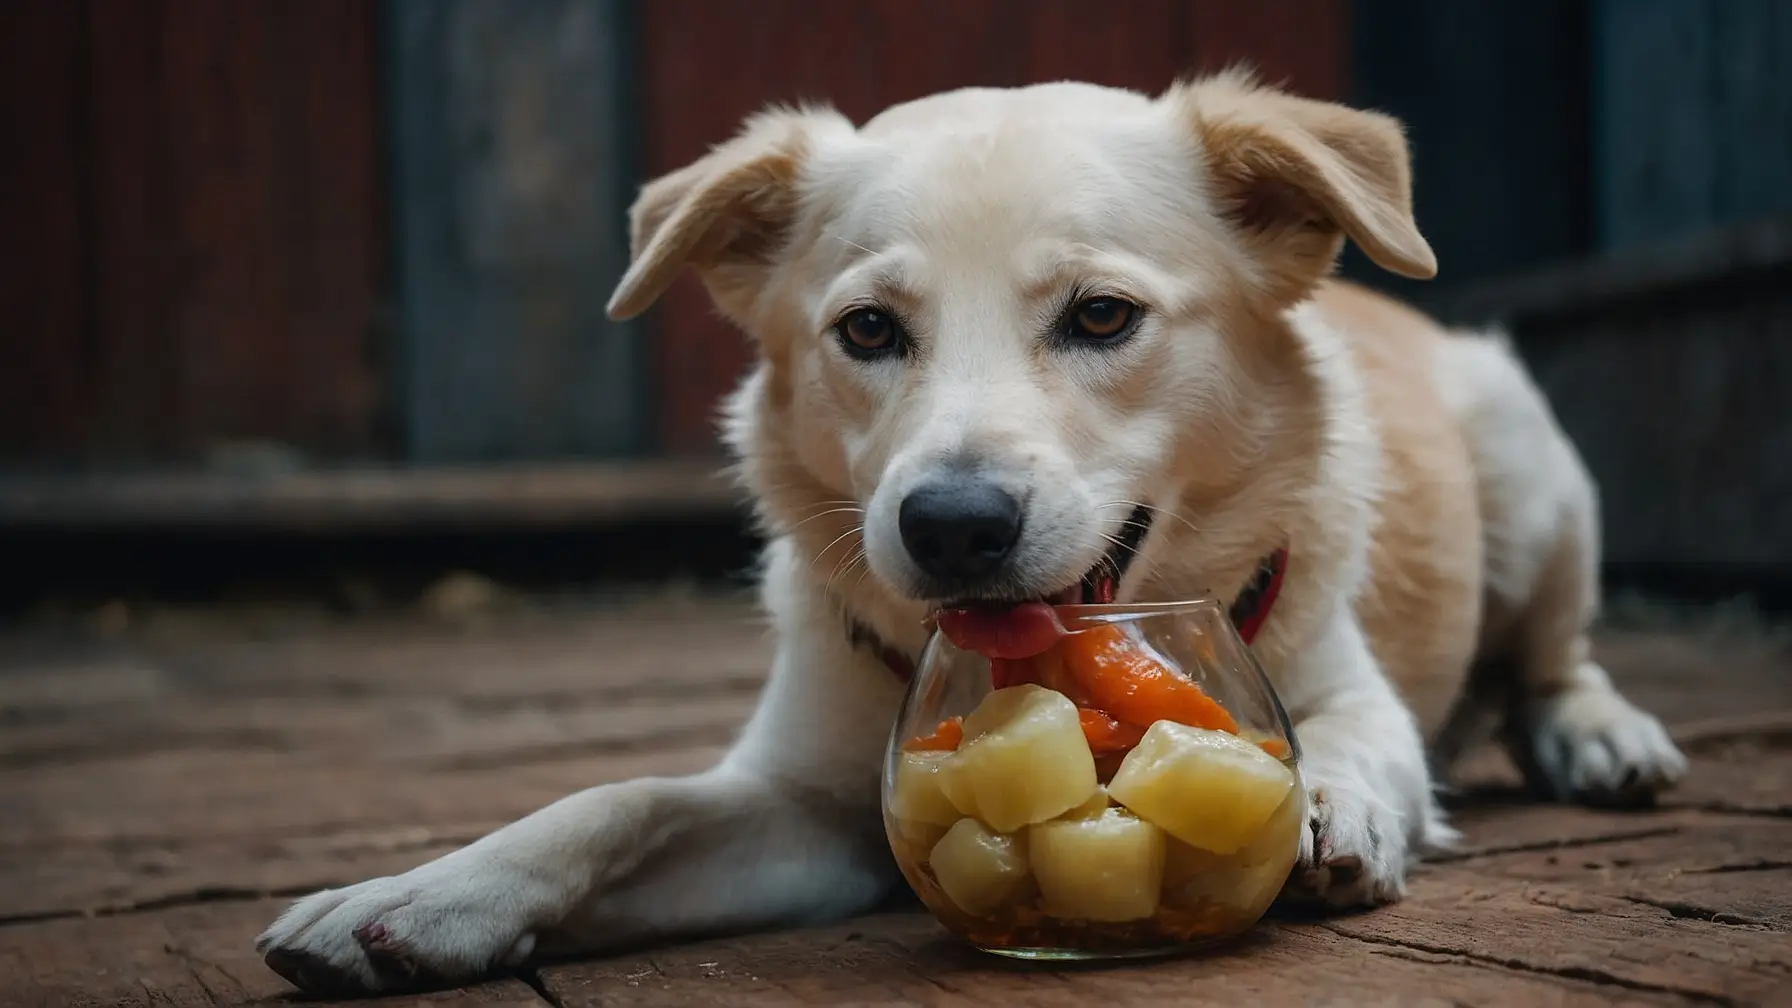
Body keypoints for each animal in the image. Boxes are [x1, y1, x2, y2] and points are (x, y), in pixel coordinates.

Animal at [259, 76, 1684, 990]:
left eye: (1102, 316)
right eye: (867, 330)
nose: (950, 525)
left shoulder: (1342, 681)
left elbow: (1347, 736)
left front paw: (1330, 803)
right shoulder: (807, 809)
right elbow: (615, 804)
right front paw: (424, 899)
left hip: (1532, 468)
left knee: (1553, 661)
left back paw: (1600, 735)